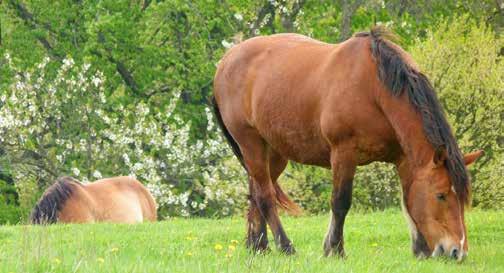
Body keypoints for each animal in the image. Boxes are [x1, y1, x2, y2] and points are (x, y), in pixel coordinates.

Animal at [211, 26, 482, 260]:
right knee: (266, 195)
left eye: (463, 198)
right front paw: (335, 249)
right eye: (440, 195)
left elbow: (408, 200)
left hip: (275, 152)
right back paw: (285, 247)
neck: (375, 89)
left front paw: (421, 248)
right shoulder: (344, 153)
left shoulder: (404, 158)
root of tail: (225, 61)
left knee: (256, 192)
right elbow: (340, 202)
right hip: (251, 143)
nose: (457, 251)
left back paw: (259, 246)